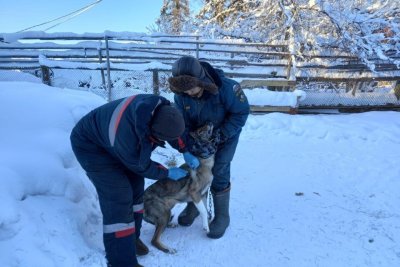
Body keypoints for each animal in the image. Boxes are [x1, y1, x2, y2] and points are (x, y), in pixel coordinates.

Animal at [144, 123, 216, 253]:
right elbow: (203, 211)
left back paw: (170, 225)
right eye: (200, 130)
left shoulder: (203, 195)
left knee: (158, 227)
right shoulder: (195, 194)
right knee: (154, 240)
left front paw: (207, 223)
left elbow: (205, 211)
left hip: (167, 210)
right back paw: (167, 249)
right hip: (164, 213)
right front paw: (205, 227)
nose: (210, 122)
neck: (203, 160)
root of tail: (142, 203)